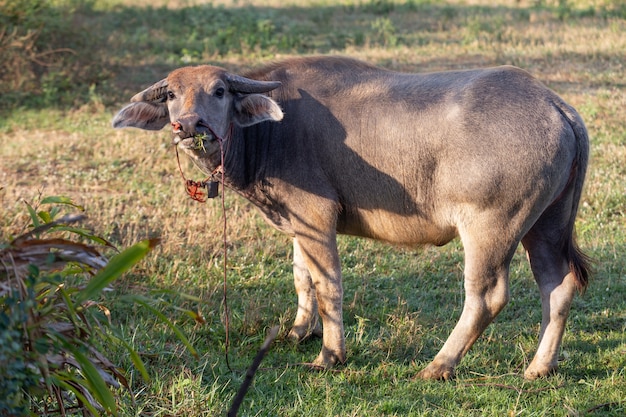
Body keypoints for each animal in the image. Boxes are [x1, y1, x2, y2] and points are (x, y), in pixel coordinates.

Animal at [113, 56, 588, 380]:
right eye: (171, 95)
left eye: (219, 91)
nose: (189, 126)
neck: (270, 130)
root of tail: (555, 105)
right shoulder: (298, 223)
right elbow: (301, 276)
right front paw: (298, 331)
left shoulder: (316, 215)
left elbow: (328, 285)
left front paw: (329, 355)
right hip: (546, 224)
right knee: (558, 284)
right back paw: (539, 367)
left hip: (492, 228)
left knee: (487, 296)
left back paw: (438, 364)